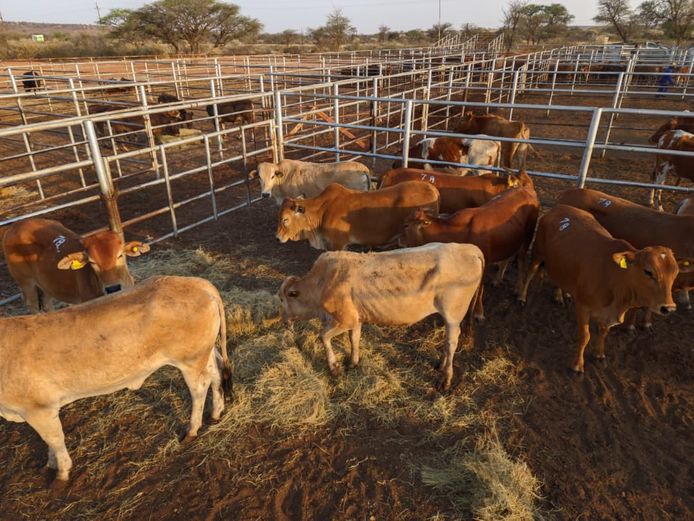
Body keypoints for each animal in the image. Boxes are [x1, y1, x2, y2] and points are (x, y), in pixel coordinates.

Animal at [0, 276, 232, 483]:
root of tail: (198, 283)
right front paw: (50, 464)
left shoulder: (39, 409)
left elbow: (54, 440)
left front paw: (61, 473)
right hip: (203, 352)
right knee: (216, 371)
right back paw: (216, 412)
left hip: (189, 360)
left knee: (199, 389)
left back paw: (192, 430)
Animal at [2, 218, 149, 313]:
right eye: (92, 262)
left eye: (120, 255)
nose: (113, 288)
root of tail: (13, 227)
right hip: (26, 284)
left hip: (47, 285)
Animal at [278, 242, 484, 390]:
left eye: (283, 298)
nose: (283, 320)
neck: (322, 282)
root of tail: (469, 248)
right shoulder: (355, 318)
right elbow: (354, 338)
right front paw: (353, 362)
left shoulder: (344, 319)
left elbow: (323, 336)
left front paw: (334, 368)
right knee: (448, 342)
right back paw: (440, 365)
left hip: (453, 313)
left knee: (452, 342)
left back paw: (446, 379)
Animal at [398, 185, 539, 319]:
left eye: (406, 225)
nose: (399, 240)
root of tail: (526, 189)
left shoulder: (484, 263)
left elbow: (480, 289)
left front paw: (478, 312)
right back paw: (498, 279)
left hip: (528, 235)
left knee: (521, 260)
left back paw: (520, 293)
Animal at [518, 205, 685, 373]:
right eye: (648, 272)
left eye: (676, 272)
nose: (669, 308)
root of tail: (558, 207)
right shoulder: (583, 307)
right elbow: (585, 336)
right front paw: (577, 364)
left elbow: (604, 332)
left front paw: (599, 353)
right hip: (538, 253)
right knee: (530, 273)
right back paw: (522, 297)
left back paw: (559, 295)